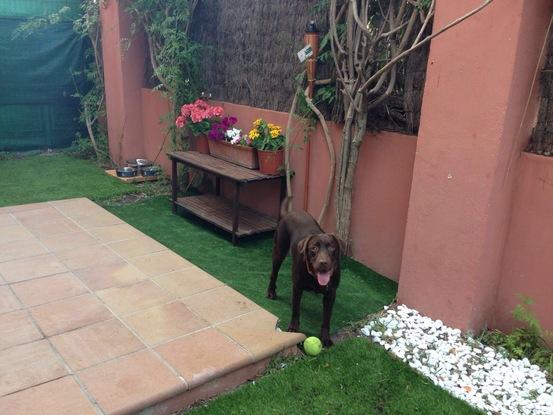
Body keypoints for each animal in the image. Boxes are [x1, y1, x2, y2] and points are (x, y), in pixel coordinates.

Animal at [266, 206, 342, 348]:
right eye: (314, 248)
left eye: (332, 248)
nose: (323, 262)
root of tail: (291, 212)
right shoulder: (297, 288)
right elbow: (296, 310)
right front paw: (293, 329)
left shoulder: (331, 294)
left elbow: (326, 318)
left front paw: (326, 338)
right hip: (279, 250)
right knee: (274, 273)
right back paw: (271, 292)